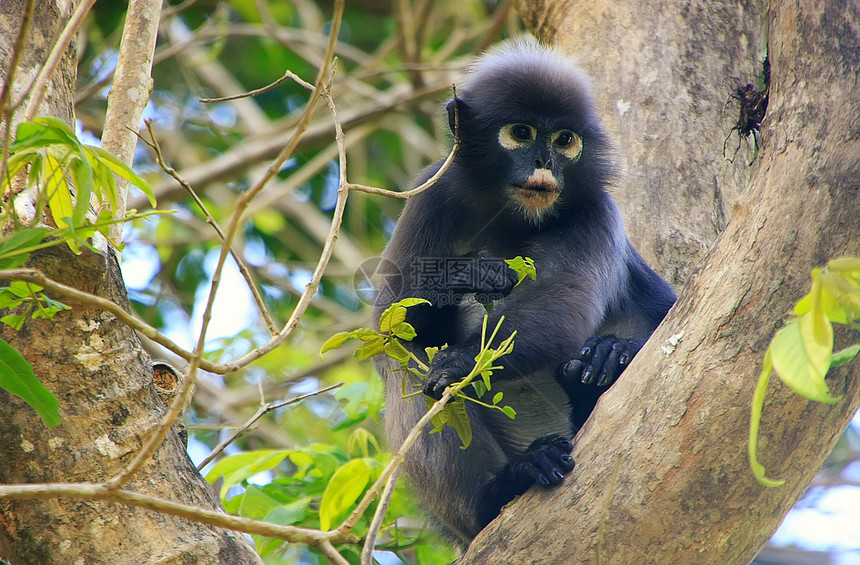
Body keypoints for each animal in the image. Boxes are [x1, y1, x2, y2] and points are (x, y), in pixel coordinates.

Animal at [372, 39, 676, 548]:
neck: (512, 216)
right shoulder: (432, 193)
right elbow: (390, 321)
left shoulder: (593, 209)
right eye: (520, 133)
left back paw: (605, 363)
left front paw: (463, 361)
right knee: (408, 361)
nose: (544, 163)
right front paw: (468, 273)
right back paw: (500, 489)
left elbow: (567, 301)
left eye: (564, 141)